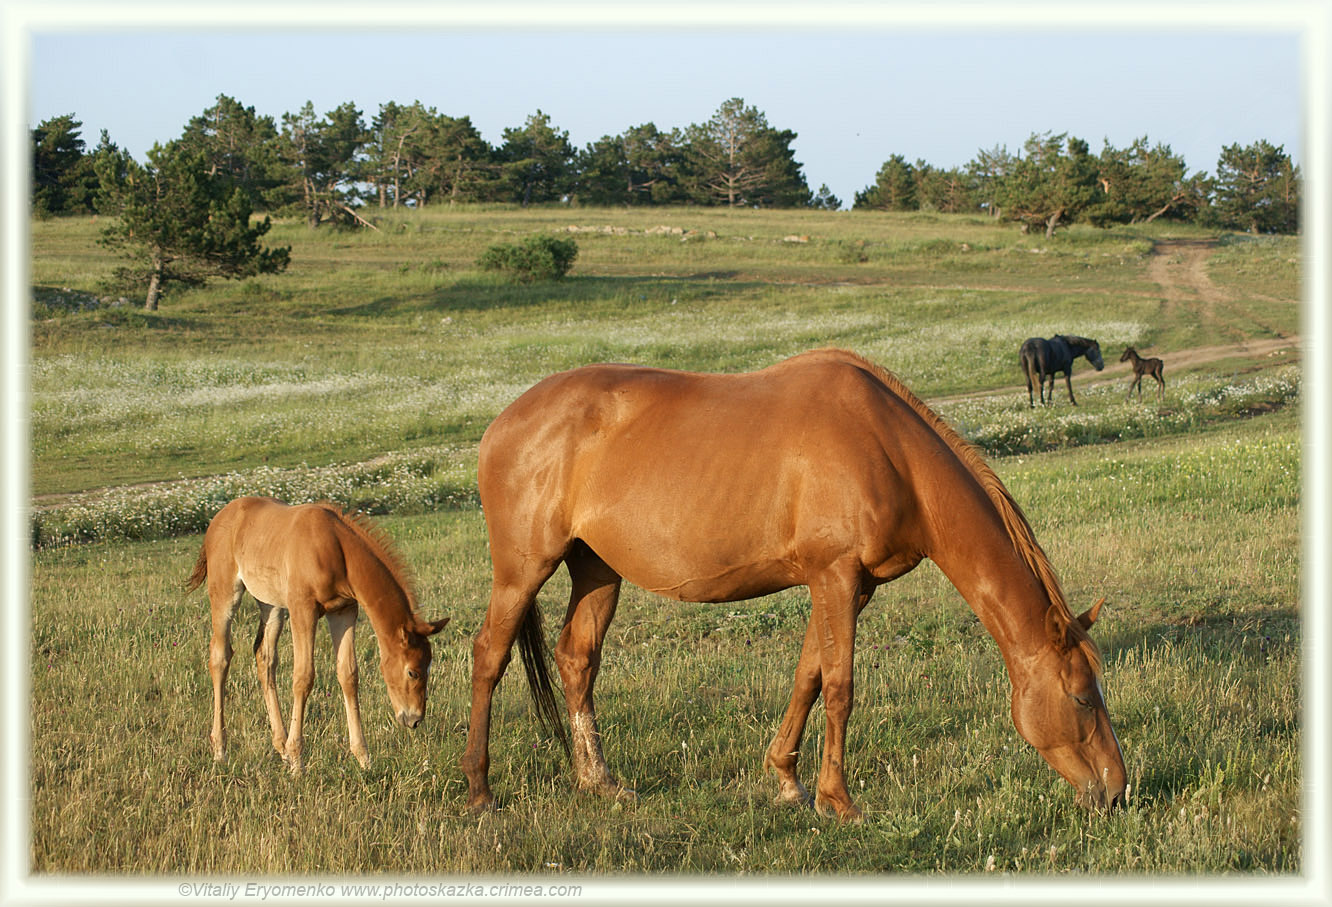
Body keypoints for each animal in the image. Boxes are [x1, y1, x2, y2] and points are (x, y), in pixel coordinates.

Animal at [187, 495, 450, 772]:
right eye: (412, 672)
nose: (414, 719)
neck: (337, 550)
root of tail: (219, 517)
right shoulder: (303, 609)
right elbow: (303, 677)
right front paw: (297, 761)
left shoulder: (344, 611)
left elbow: (348, 675)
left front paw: (363, 758)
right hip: (225, 593)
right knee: (220, 657)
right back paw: (220, 750)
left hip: (271, 604)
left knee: (265, 659)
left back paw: (280, 746)